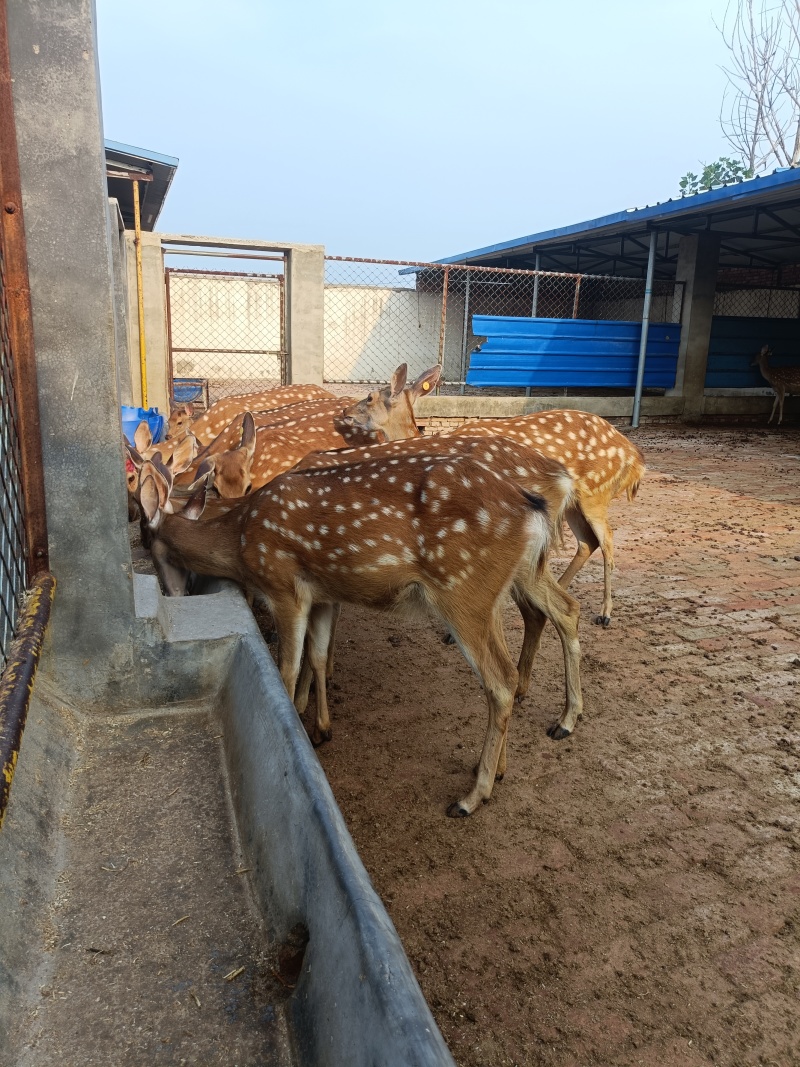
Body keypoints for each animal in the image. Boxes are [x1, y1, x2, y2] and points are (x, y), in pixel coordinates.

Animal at [139, 447, 582, 817]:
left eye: (146, 543)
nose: (172, 593)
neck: (240, 539)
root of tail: (534, 505)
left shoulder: (283, 586)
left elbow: (286, 669)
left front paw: (296, 725)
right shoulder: (321, 595)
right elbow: (318, 656)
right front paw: (320, 729)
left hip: (464, 590)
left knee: (502, 679)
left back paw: (472, 797)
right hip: (505, 584)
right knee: (560, 614)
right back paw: (506, 761)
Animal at [341, 370, 644, 627]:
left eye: (370, 397)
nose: (344, 412)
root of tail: (634, 456)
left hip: (596, 494)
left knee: (607, 540)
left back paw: (605, 613)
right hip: (574, 503)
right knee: (586, 542)